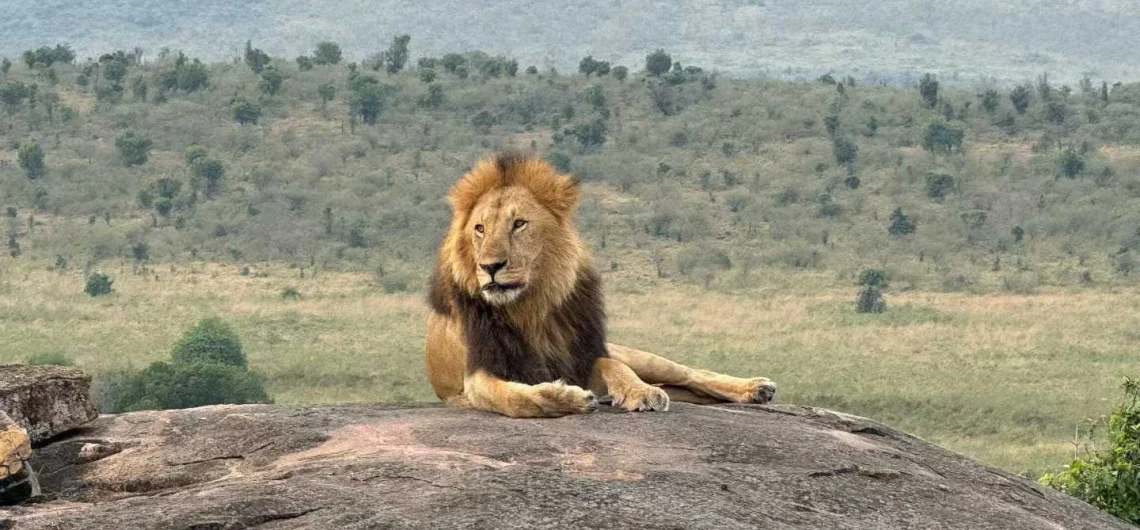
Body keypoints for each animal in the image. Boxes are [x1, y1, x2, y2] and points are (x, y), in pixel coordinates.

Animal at [425, 153, 777, 417]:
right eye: (480, 229)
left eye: (519, 224)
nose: (490, 267)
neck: (531, 306)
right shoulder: (477, 375)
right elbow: (516, 398)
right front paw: (566, 398)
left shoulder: (581, 356)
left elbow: (613, 365)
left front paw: (639, 391)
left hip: (639, 356)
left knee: (689, 373)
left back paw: (755, 388)